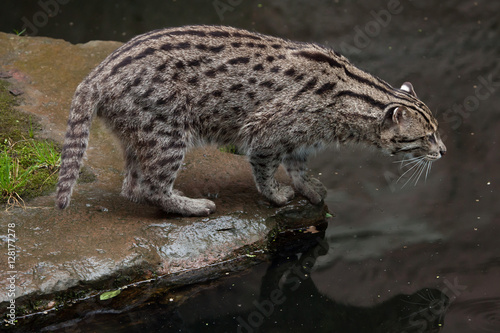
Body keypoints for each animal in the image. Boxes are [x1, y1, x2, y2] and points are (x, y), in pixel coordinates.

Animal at [56, 24, 448, 215]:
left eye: (436, 131)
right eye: (426, 137)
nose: (444, 152)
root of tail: (98, 73)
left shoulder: (300, 140)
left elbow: (298, 167)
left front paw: (308, 189)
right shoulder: (266, 131)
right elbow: (264, 169)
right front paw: (275, 195)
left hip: (138, 131)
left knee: (132, 186)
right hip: (167, 133)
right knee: (153, 187)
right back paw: (189, 206)